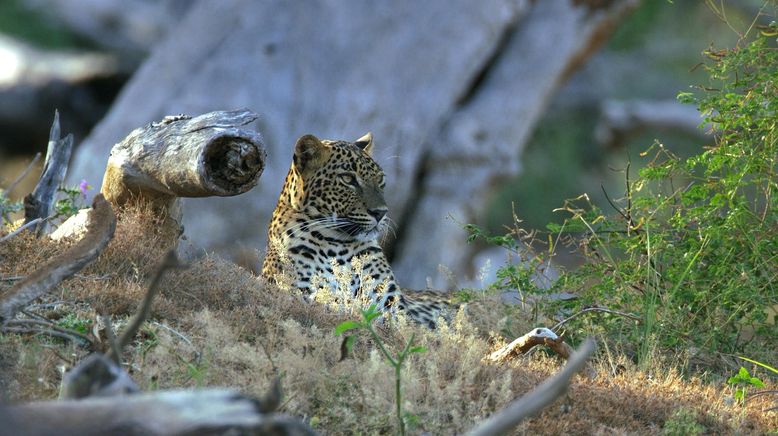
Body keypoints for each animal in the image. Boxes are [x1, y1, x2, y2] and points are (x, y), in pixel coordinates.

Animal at [262, 132, 454, 328]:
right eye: (348, 179)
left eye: (380, 180)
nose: (381, 213)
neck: (336, 245)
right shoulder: (303, 293)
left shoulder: (390, 306)